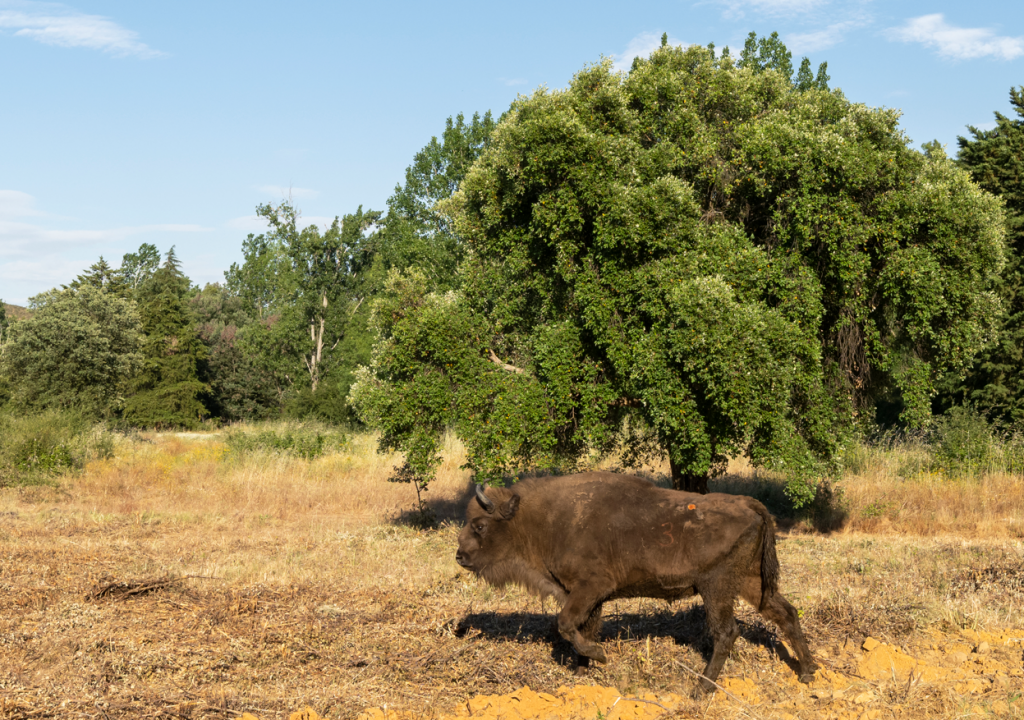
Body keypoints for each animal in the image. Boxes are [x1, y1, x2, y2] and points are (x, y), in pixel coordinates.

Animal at [456, 471, 815, 688]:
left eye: (480, 525)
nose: (460, 556)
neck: (547, 519)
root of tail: (752, 506)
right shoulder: (589, 598)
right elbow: (582, 628)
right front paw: (581, 670)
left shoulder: (590, 589)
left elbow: (566, 625)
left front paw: (599, 656)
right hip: (752, 583)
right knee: (786, 614)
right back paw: (808, 673)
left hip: (716, 588)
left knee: (727, 632)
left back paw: (701, 689)